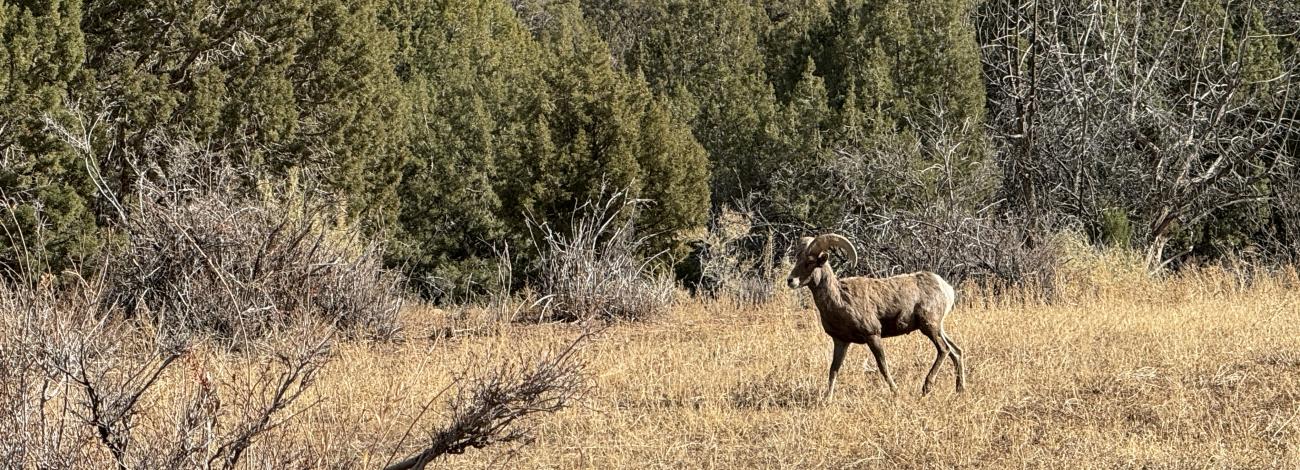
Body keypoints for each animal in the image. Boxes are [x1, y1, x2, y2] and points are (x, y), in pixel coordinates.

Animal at [786, 234, 965, 397]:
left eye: (809, 262)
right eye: (798, 260)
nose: (790, 280)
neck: (840, 298)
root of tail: (946, 288)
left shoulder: (873, 336)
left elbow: (882, 366)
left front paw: (896, 392)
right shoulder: (841, 342)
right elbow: (833, 370)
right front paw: (827, 399)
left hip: (929, 327)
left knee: (944, 350)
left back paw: (926, 388)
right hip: (938, 328)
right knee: (956, 351)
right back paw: (960, 390)